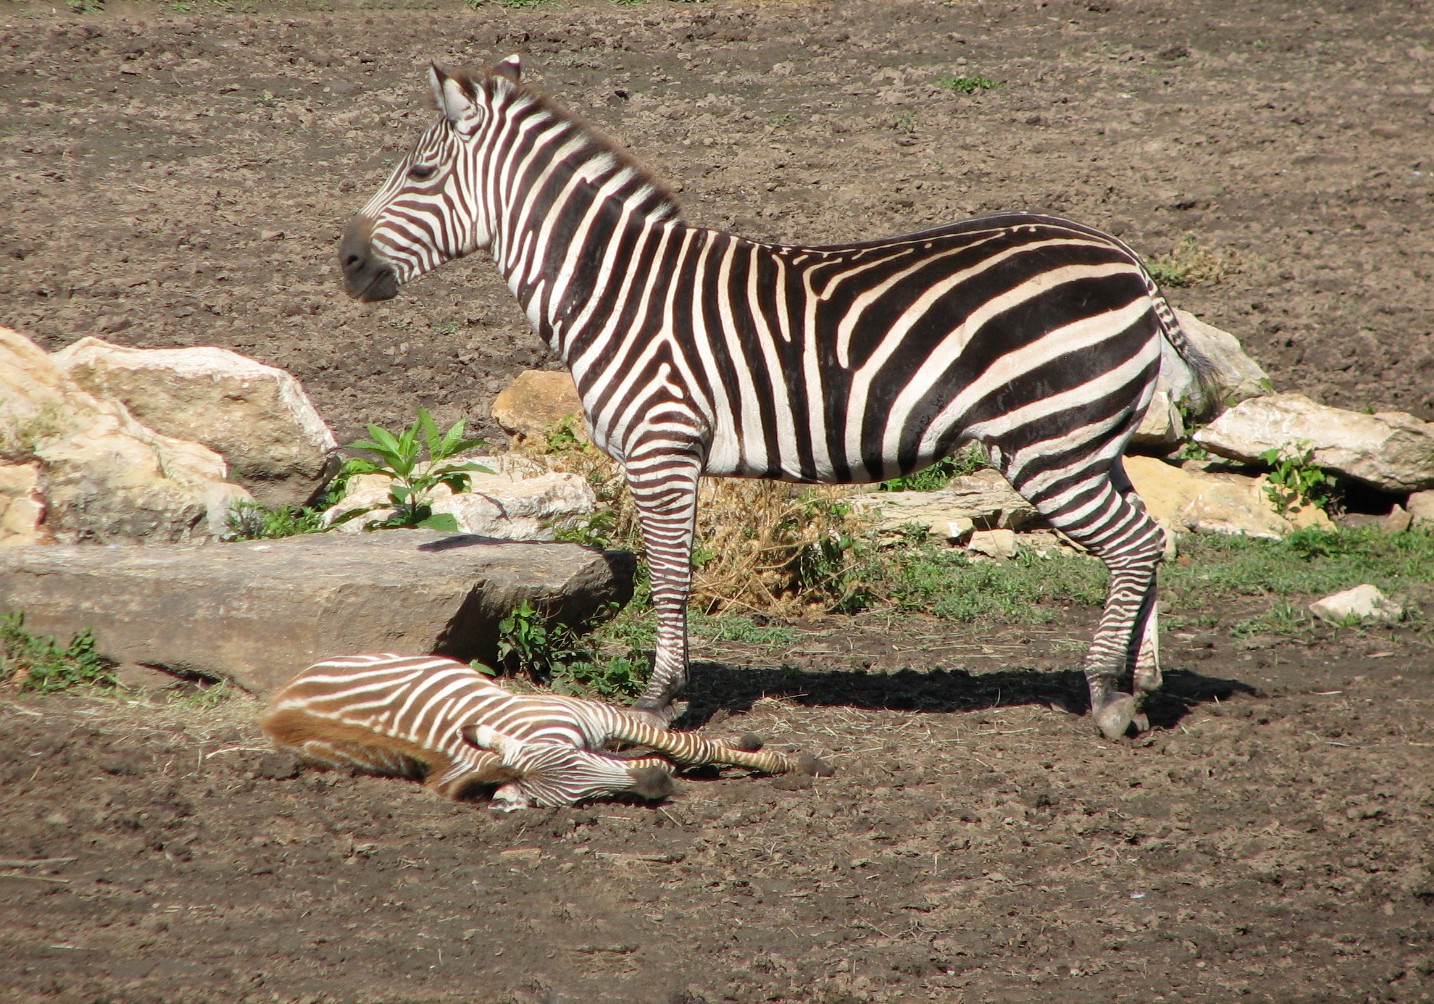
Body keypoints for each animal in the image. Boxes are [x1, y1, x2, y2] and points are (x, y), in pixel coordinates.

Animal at [260, 653, 830, 810]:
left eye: (581, 765)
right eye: (582, 800)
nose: (654, 789)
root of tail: (278, 706)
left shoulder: (599, 716)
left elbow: (687, 743)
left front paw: (795, 763)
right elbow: (676, 751)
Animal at [338, 57, 1219, 742]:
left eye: (421, 173)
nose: (344, 261)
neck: (614, 288)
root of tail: (1127, 259)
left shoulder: (662, 446)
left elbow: (670, 577)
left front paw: (658, 701)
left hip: (1049, 441)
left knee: (1133, 545)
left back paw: (1106, 696)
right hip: (1089, 440)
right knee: (1149, 538)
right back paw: (1140, 684)